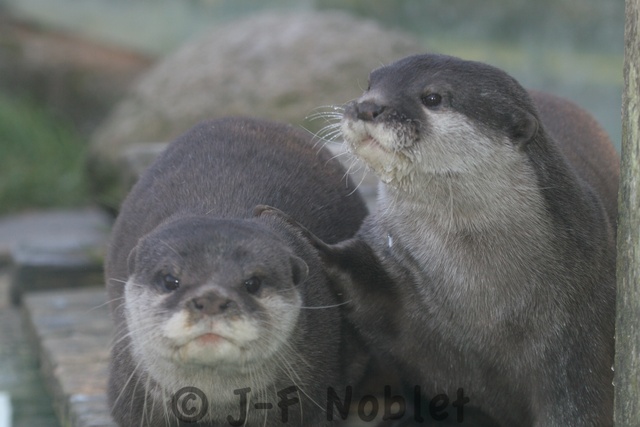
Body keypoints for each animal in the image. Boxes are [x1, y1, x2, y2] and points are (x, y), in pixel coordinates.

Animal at [261, 54, 619, 426]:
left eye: (432, 97)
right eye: (371, 84)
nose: (367, 107)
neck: (478, 304)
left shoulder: (577, 343)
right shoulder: (395, 285)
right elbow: (356, 277)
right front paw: (288, 226)